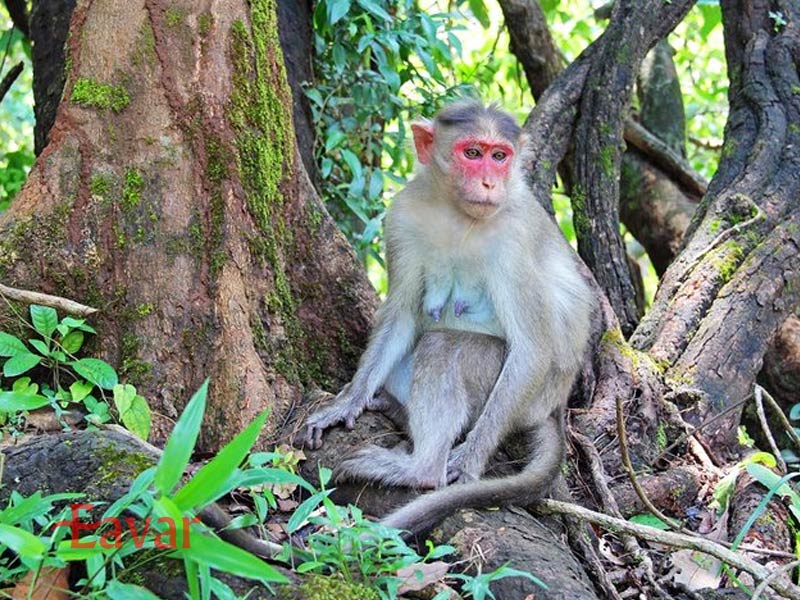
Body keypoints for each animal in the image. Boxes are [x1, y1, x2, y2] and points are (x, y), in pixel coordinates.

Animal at [300, 101, 592, 536]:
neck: (459, 214)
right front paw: (348, 401)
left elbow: (533, 348)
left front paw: (469, 460)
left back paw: (421, 469)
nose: (489, 183)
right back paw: (395, 409)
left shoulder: (514, 238)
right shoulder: (402, 215)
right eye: (472, 153)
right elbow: (402, 313)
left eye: (499, 156)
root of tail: (555, 406)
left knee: (444, 346)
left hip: (527, 396)